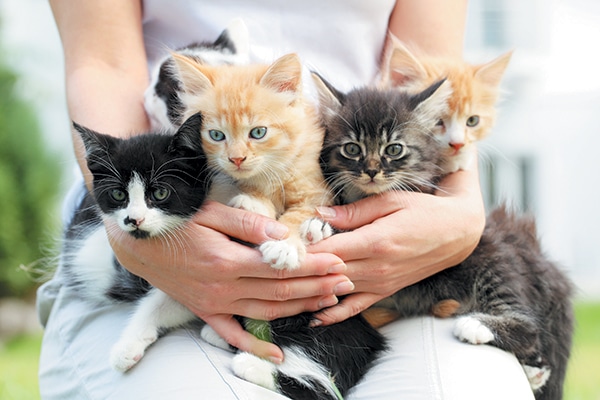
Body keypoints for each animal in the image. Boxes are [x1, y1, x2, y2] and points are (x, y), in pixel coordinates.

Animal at [172, 52, 332, 268]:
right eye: (216, 135)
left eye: (258, 132)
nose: (237, 159)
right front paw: (254, 204)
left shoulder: (317, 193)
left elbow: (298, 215)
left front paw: (284, 245)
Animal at [312, 74, 576, 400]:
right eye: (352, 149)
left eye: (394, 149)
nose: (372, 171)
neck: (366, 195)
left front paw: (321, 227)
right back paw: (533, 372)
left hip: (491, 258)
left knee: (529, 327)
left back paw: (477, 326)